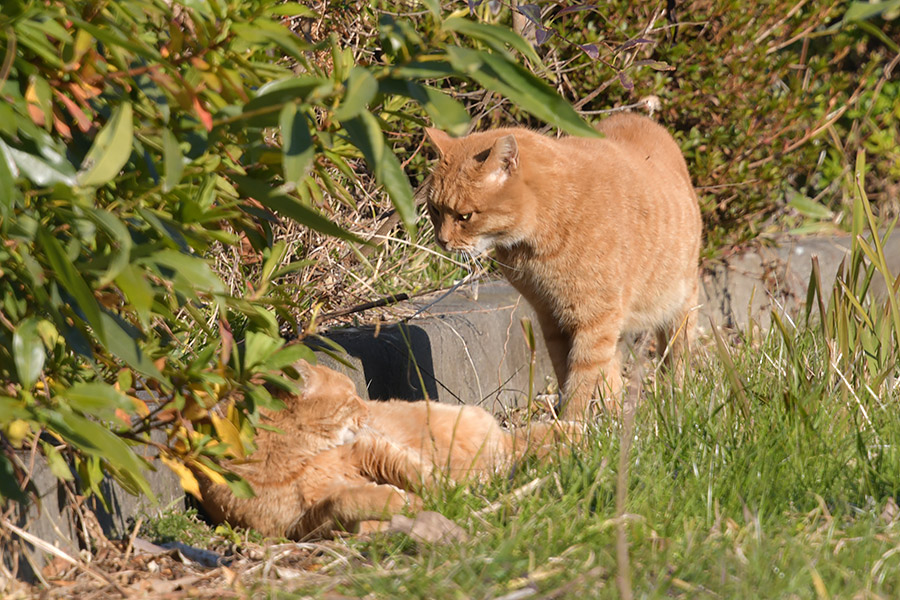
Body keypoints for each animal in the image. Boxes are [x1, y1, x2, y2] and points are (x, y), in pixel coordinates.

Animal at [198, 360, 576, 540]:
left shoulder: (368, 446)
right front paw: (403, 503)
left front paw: (440, 493)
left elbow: (412, 470)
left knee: (520, 447)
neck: (296, 458)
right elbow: (346, 499)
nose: (367, 408)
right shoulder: (299, 526)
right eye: (352, 397)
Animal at [424, 112, 704, 418]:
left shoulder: (594, 319)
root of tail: (636, 116)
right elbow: (566, 371)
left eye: (465, 216)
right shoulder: (551, 317)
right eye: (435, 210)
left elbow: (581, 377)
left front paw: (571, 424)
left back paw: (675, 399)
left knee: (676, 357)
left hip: (679, 304)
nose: (442, 241)